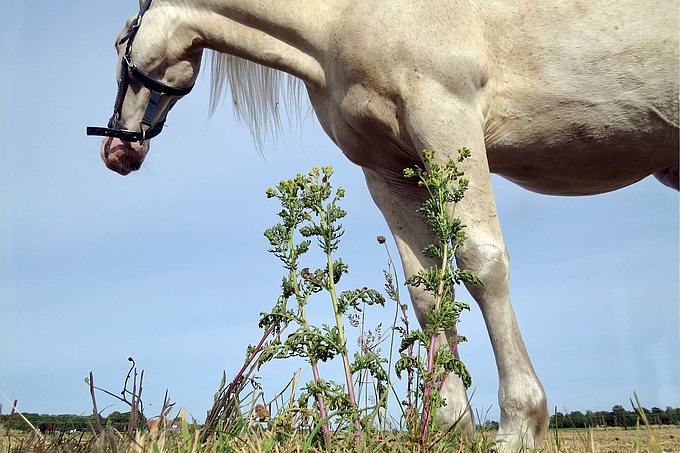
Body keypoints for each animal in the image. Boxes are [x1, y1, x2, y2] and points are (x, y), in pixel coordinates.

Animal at [86, 0, 679, 449]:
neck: (342, 16)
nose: (115, 150)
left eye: (120, 42)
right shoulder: (389, 169)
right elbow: (427, 293)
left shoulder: (445, 117)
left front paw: (519, 426)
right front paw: (450, 427)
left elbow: (483, 265)